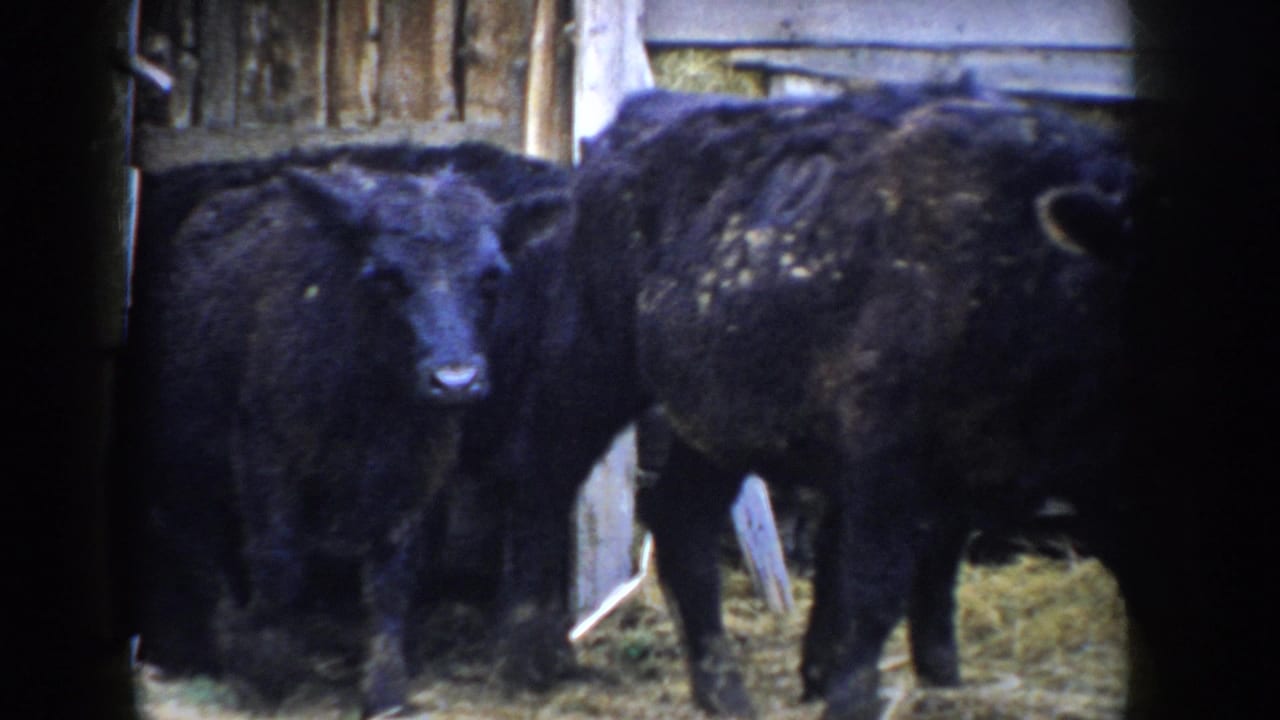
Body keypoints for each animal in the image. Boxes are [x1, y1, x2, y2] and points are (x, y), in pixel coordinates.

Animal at [115, 142, 567, 717]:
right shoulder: (267, 454)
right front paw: (268, 674)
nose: (456, 380)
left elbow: (392, 578)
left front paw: (386, 689)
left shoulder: (416, 472)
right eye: (387, 275)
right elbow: (278, 559)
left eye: (491, 276)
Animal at [487, 84, 1153, 720]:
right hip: (592, 364)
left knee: (682, 519)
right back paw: (539, 657)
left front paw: (937, 680)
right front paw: (852, 696)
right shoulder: (890, 468)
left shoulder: (967, 476)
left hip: (718, 419)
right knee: (544, 470)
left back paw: (723, 691)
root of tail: (620, 129)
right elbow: (876, 586)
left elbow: (935, 576)